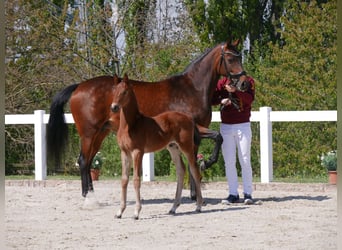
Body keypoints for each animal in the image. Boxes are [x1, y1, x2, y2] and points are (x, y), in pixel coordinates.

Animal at [46, 38, 247, 199]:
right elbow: (216, 139)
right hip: (88, 133)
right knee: (82, 161)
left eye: (240, 57)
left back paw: (92, 193)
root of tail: (79, 86)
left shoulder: (193, 134)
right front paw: (207, 163)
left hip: (100, 133)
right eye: (230, 59)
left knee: (88, 161)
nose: (244, 83)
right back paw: (86, 195)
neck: (191, 90)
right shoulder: (194, 129)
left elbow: (195, 159)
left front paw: (194, 194)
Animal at [111, 74, 203, 219]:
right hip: (173, 147)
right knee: (181, 170)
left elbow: (136, 179)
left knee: (194, 170)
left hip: (186, 147)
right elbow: (124, 180)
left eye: (124, 92)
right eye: (113, 91)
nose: (114, 107)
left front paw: (136, 212)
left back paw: (198, 206)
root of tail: (189, 118)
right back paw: (173, 208)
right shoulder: (124, 152)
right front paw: (120, 212)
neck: (131, 125)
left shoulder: (138, 152)